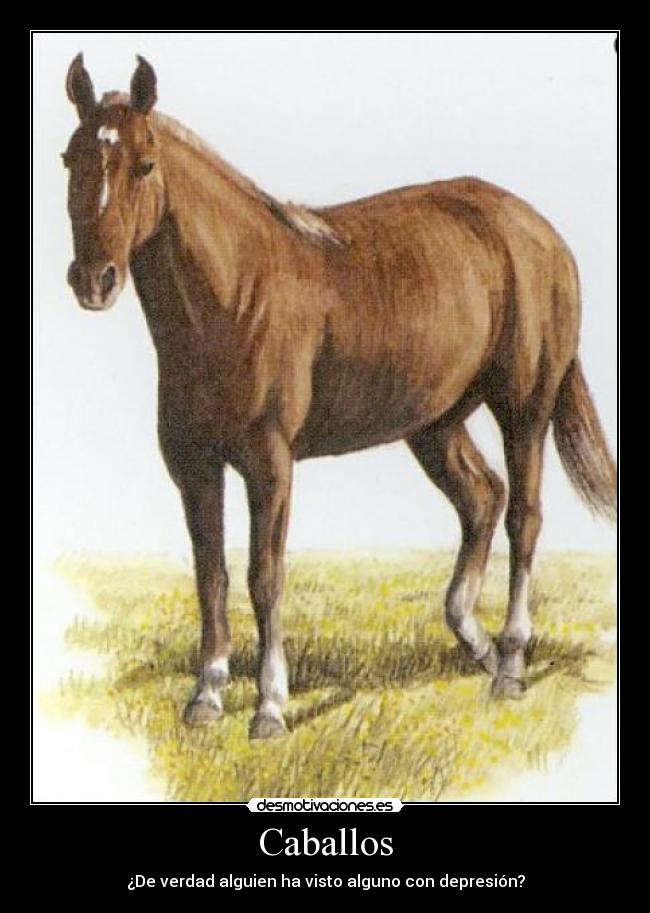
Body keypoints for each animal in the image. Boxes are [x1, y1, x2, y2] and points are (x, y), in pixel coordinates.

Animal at [63, 54, 616, 739]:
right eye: (69, 158)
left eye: (143, 163)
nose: (94, 281)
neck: (237, 294)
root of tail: (539, 230)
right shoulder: (192, 465)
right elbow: (210, 573)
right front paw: (206, 696)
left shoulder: (269, 463)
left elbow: (264, 576)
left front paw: (270, 707)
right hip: (434, 424)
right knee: (483, 498)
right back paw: (476, 645)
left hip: (524, 408)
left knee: (524, 517)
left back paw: (510, 665)